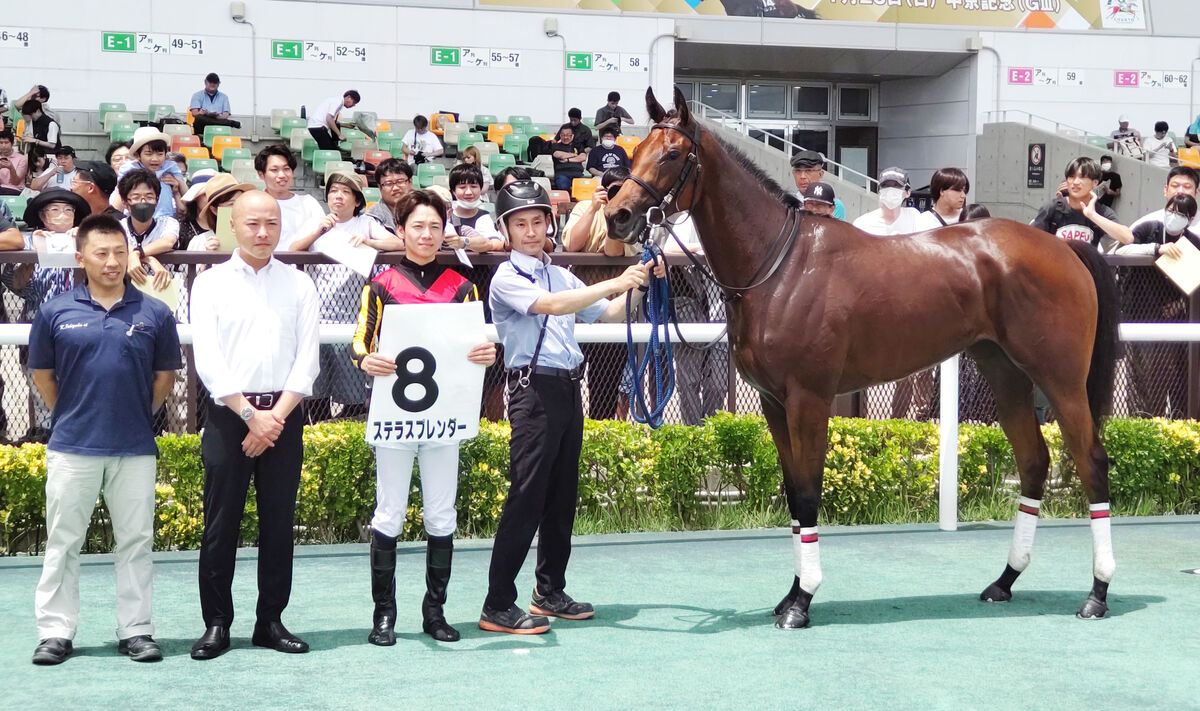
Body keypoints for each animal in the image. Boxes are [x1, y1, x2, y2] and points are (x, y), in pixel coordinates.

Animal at [609, 87, 1123, 629]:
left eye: (671, 154)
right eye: (635, 151)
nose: (617, 216)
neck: (780, 266)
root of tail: (1064, 249)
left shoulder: (809, 400)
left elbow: (808, 493)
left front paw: (803, 601)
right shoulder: (774, 403)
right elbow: (792, 494)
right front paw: (789, 595)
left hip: (1062, 380)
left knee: (1091, 462)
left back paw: (1097, 593)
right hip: (1004, 373)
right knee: (1033, 461)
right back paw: (1005, 581)